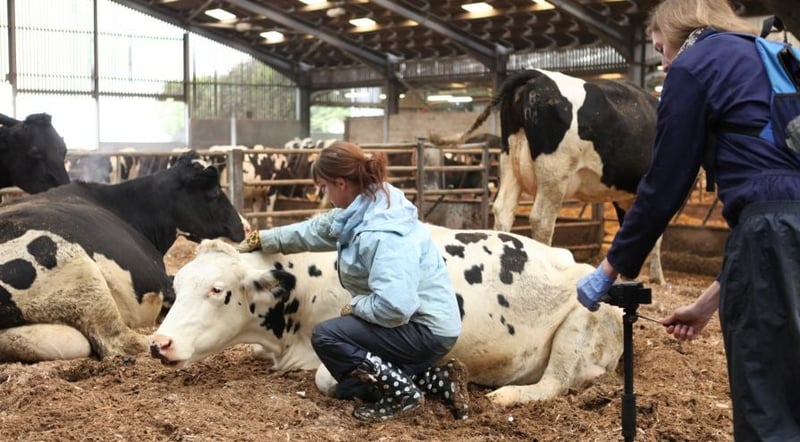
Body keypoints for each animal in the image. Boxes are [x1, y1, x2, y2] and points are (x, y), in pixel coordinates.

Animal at [152, 226, 624, 406]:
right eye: (179, 284)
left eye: (217, 290)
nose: (159, 343)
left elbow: (327, 377)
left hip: (579, 322)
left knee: (556, 382)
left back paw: (507, 395)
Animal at [460, 69, 664, 284]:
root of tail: (536, 75)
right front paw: (656, 277)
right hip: (554, 175)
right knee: (542, 220)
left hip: (510, 164)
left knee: (503, 211)